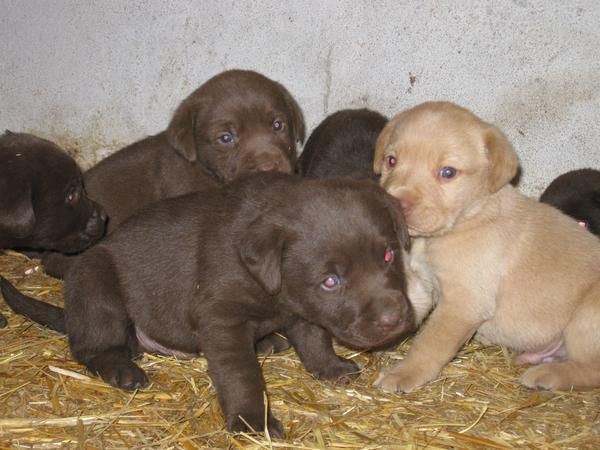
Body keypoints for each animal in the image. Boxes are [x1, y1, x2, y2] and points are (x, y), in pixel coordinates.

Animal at [3, 172, 418, 436]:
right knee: (91, 345)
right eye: (331, 281)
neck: (272, 287)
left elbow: (315, 339)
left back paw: (269, 342)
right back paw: (123, 369)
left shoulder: (302, 308)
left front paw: (330, 368)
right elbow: (242, 374)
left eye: (388, 256)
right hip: (94, 278)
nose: (394, 318)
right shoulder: (221, 318)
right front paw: (252, 422)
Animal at [372, 101, 600, 390]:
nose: (396, 203)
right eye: (392, 160)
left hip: (587, 315)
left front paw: (404, 373)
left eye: (448, 172)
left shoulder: (463, 302)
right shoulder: (425, 282)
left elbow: (429, 344)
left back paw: (546, 376)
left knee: (592, 368)